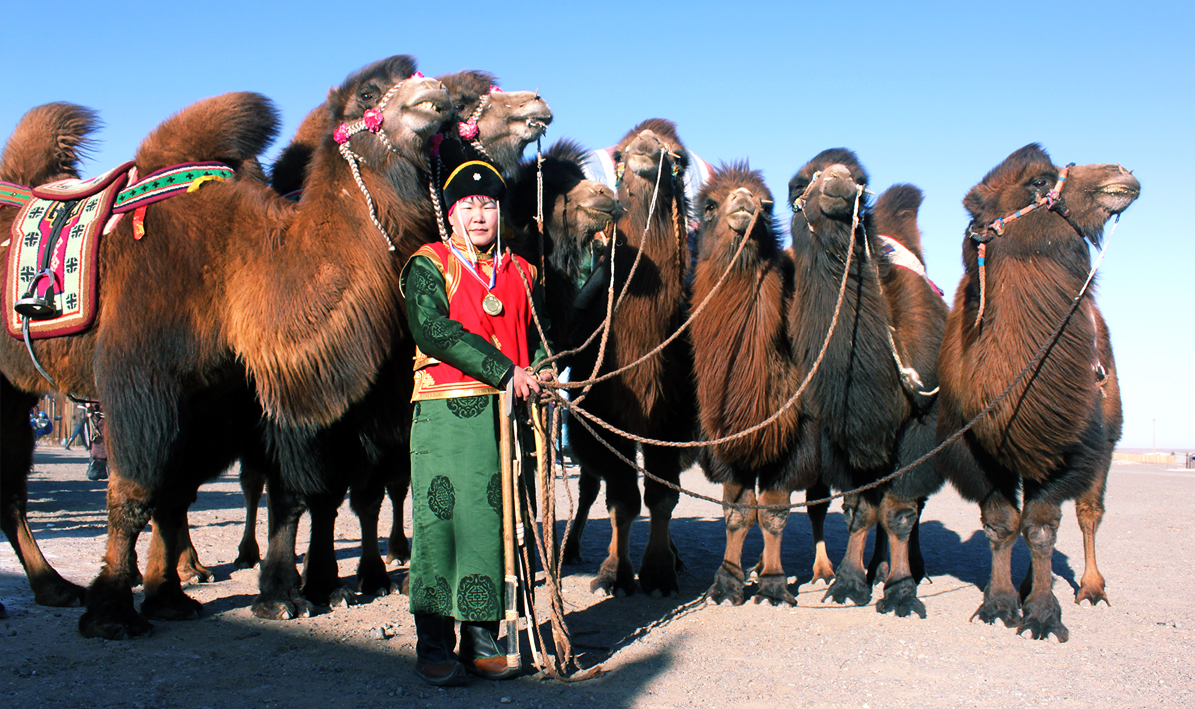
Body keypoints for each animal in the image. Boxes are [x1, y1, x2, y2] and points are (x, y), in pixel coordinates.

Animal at [0, 62, 451, 636]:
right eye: (369, 92)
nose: (435, 91)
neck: (233, 263)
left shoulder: (218, 397)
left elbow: (185, 493)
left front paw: (175, 597)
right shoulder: (139, 379)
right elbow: (134, 494)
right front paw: (111, 612)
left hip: (16, 390)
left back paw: (54, 587)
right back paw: (62, 588)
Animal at [556, 118, 697, 595]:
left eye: (678, 157)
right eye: (619, 153)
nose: (646, 147)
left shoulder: (671, 420)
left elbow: (662, 497)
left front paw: (658, 572)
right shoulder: (606, 415)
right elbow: (622, 500)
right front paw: (615, 573)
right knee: (588, 483)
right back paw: (571, 547)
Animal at [693, 162, 831, 604]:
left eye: (767, 205)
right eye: (709, 206)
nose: (744, 202)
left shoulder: (796, 443)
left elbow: (773, 512)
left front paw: (773, 583)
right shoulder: (726, 447)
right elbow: (737, 512)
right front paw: (728, 580)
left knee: (822, 504)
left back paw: (826, 571)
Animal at [788, 150, 946, 621]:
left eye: (860, 178)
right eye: (800, 181)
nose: (840, 184)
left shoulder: (920, 426)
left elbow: (900, 511)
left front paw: (900, 591)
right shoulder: (838, 432)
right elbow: (859, 510)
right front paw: (848, 582)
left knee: (909, 506)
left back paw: (907, 568)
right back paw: (876, 567)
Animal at [932, 143, 1137, 640]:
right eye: (1040, 181)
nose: (1122, 172)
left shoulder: (1068, 446)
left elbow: (1043, 526)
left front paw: (1043, 614)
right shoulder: (974, 447)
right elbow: (1002, 524)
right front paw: (1000, 603)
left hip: (1107, 439)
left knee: (1088, 512)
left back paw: (1091, 588)